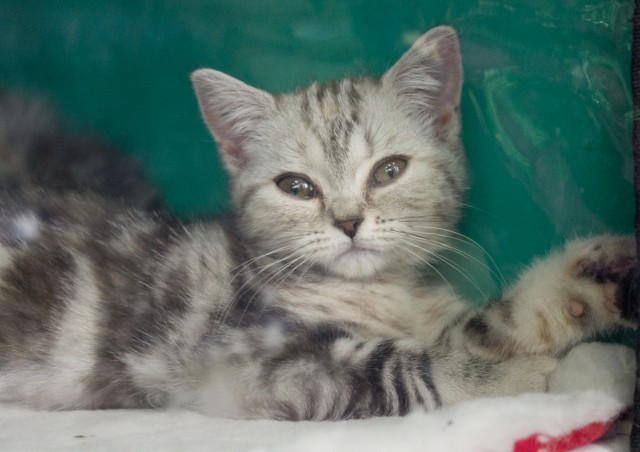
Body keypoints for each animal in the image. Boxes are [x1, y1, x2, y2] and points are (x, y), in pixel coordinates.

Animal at [0, 26, 635, 420]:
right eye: (297, 187)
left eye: (389, 170)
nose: (349, 222)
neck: (385, 294)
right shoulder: (240, 366)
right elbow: (414, 364)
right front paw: (525, 354)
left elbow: (472, 321)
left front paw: (586, 295)